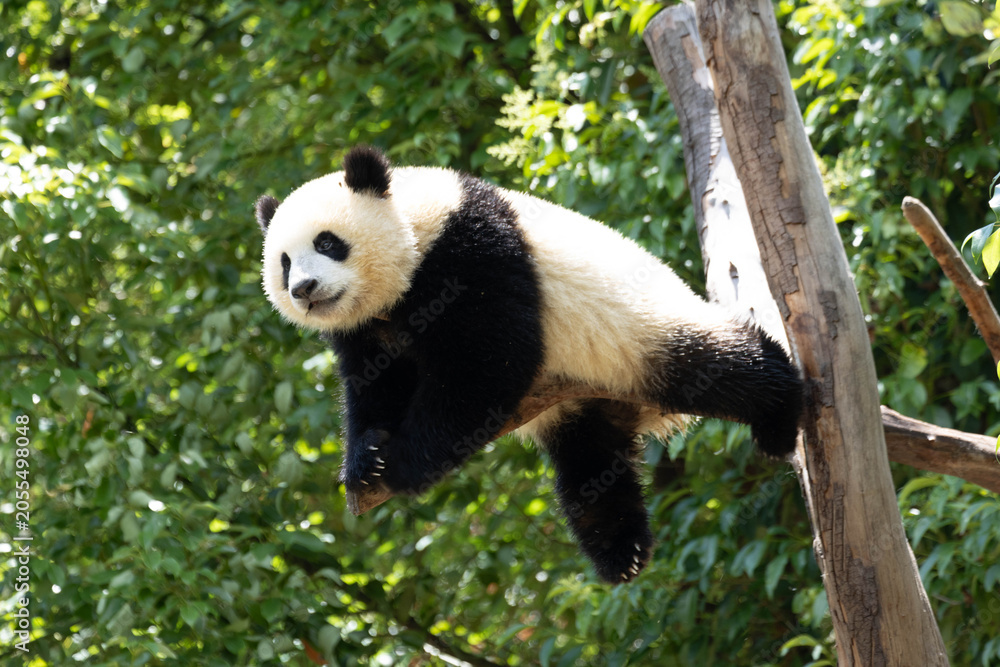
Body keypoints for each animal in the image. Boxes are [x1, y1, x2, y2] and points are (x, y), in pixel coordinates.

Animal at [256, 145, 803, 584]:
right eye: (283, 262)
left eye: (328, 242)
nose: (304, 289)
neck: (417, 222)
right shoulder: (367, 326)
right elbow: (376, 384)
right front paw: (365, 458)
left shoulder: (471, 252)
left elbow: (488, 363)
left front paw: (405, 463)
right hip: (585, 401)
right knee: (590, 464)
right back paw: (618, 552)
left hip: (648, 335)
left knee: (718, 368)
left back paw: (779, 413)